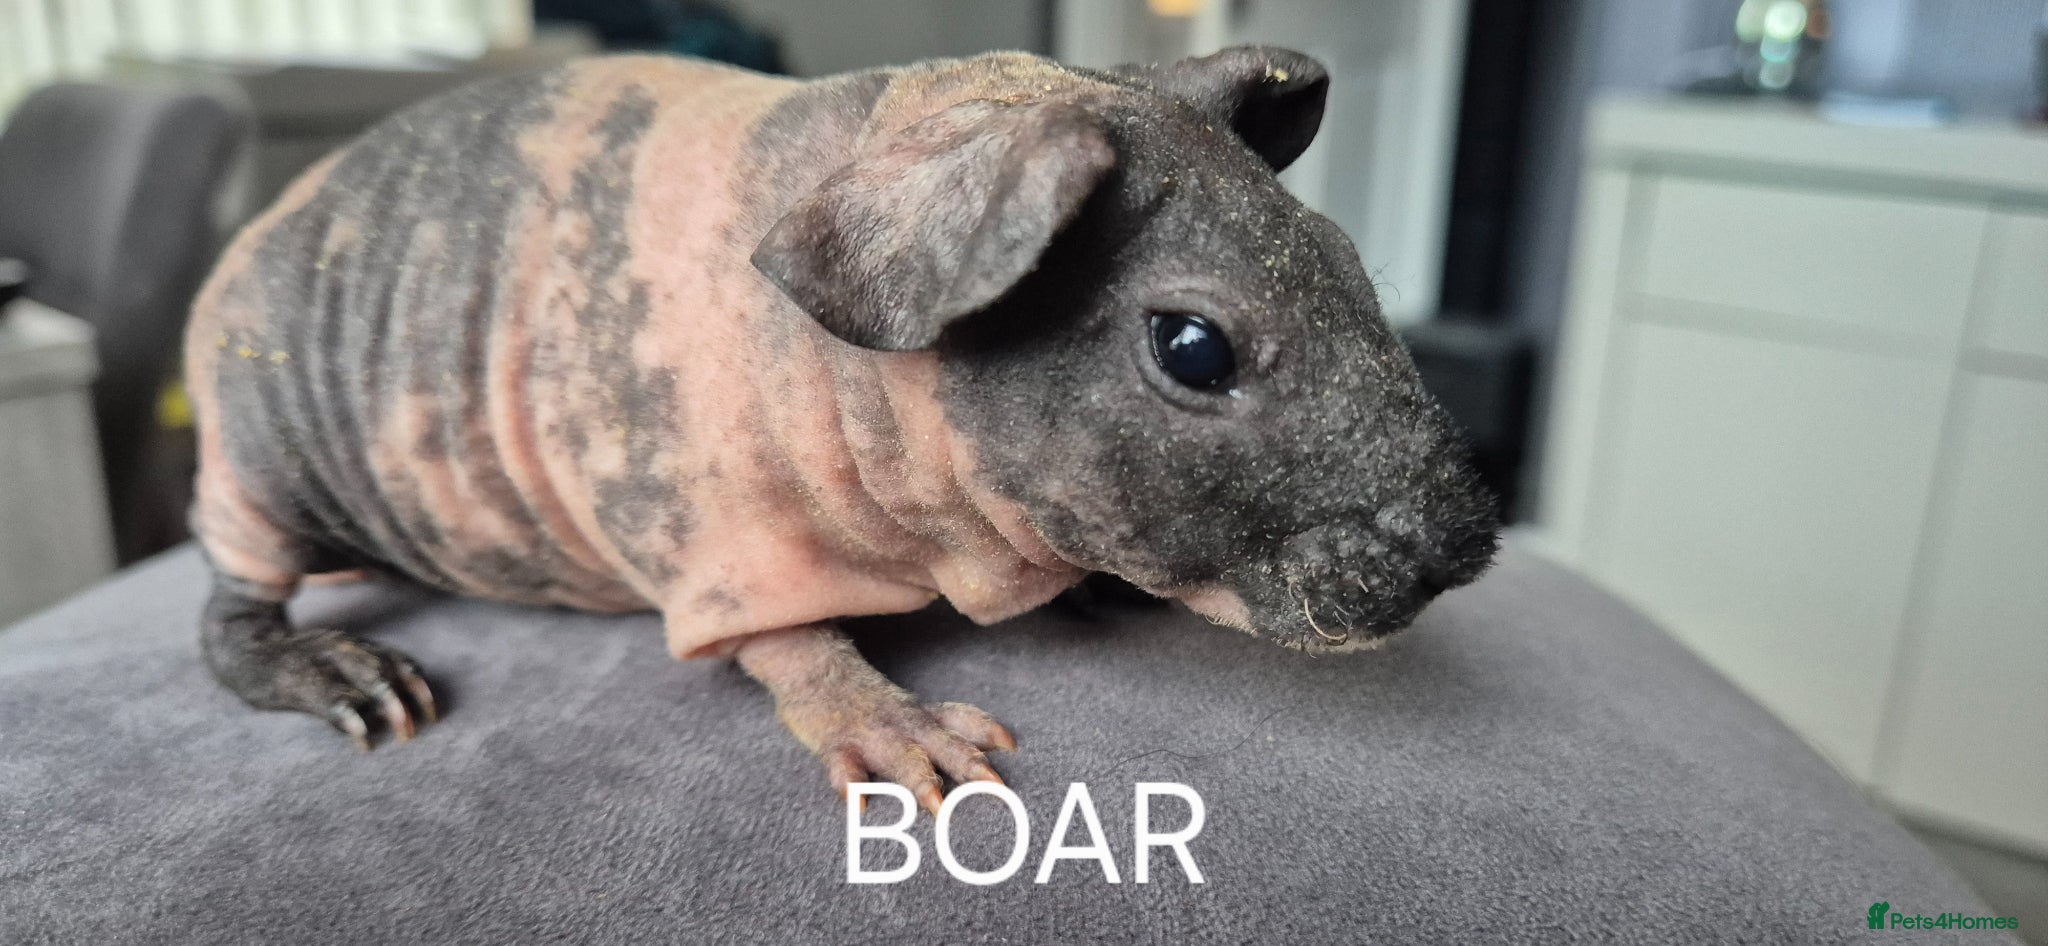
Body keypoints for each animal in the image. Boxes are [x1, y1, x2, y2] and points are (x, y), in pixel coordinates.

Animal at [184, 46, 1499, 812]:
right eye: (1193, 349)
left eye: (1348, 266)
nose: (1464, 542)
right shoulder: (708, 527)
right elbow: (787, 642)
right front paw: (893, 722)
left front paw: (1090, 588)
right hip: (260, 468)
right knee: (230, 607)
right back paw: (330, 665)